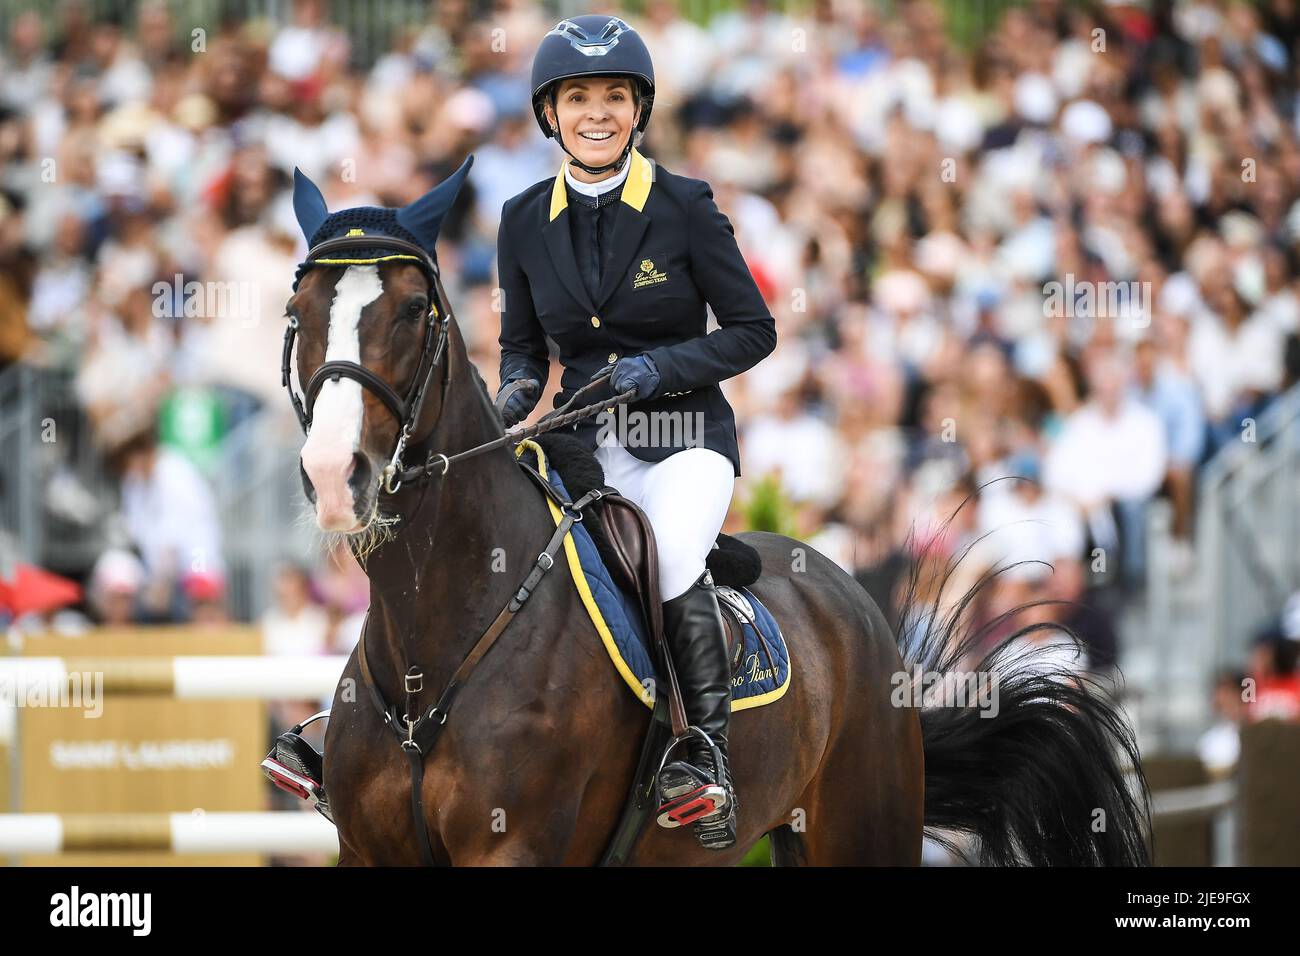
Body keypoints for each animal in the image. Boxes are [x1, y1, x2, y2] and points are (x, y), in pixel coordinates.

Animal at [282, 164, 1149, 868]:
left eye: (413, 309)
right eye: (298, 307)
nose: (334, 475)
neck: (434, 631)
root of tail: (851, 597)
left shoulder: (515, 848)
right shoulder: (367, 850)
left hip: (863, 825)